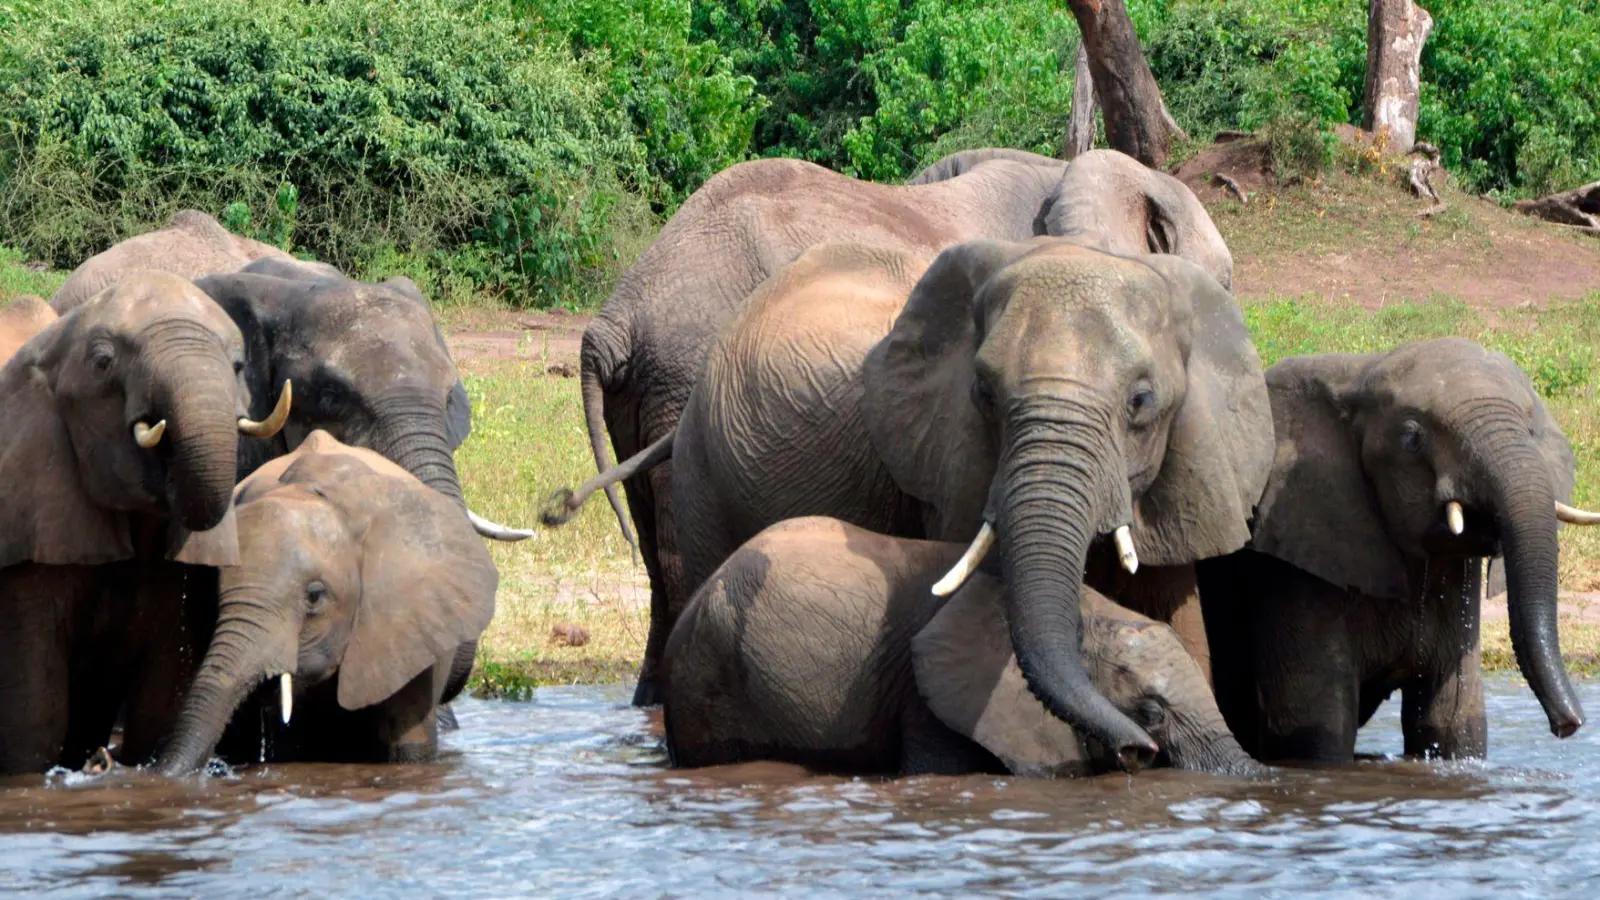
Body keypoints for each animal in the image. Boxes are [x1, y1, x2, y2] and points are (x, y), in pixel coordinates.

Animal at [1203, 339, 1600, 759]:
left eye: (1530, 430)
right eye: (1412, 438)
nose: (1568, 726)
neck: (1359, 373)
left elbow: (1454, 724)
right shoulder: (1293, 558)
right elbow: (1316, 732)